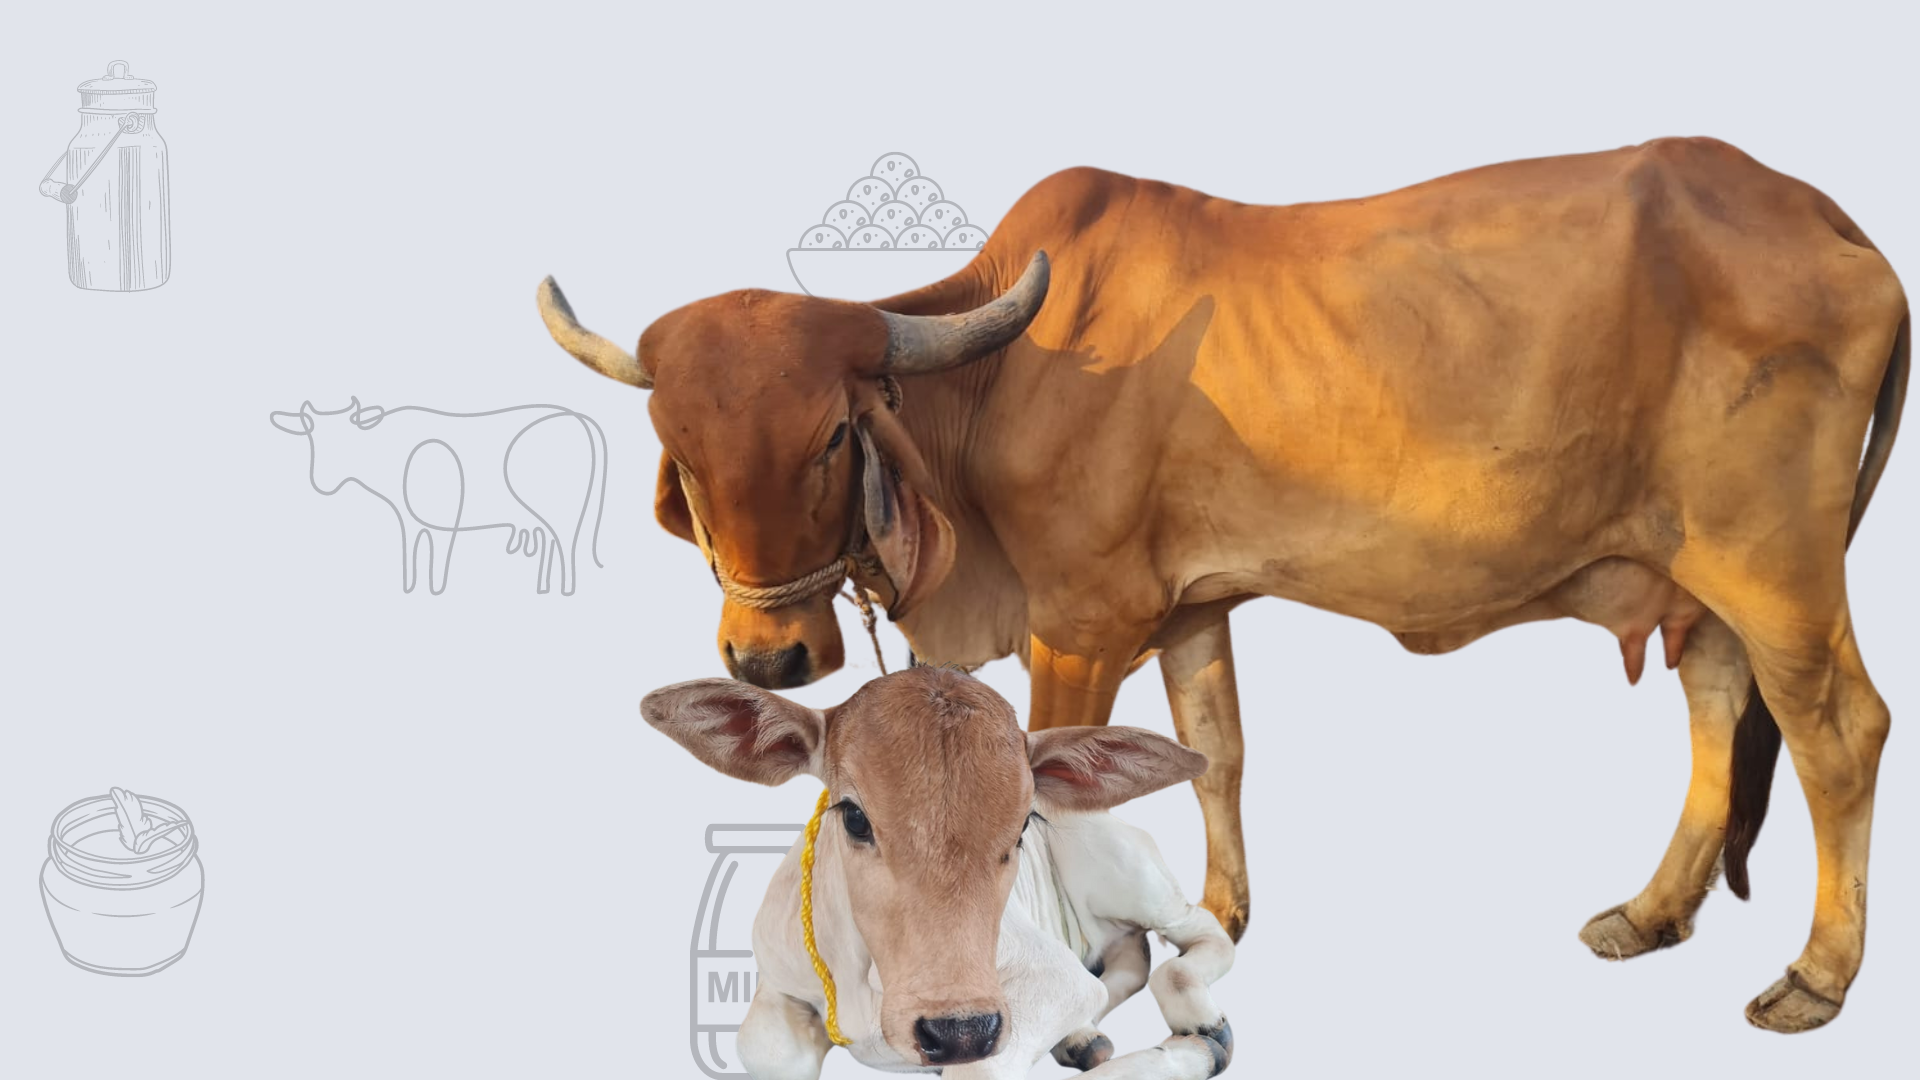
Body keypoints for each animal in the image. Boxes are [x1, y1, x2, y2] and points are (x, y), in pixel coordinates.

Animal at [269, 399, 608, 595]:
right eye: (312, 437)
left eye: (348, 436)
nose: (321, 481)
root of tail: (578, 417)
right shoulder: (409, 519)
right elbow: (411, 553)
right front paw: (410, 586)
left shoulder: (447, 517)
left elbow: (438, 562)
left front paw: (434, 589)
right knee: (551, 544)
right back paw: (542, 586)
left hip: (565, 513)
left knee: (567, 549)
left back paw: (563, 589)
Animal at [538, 138, 1909, 1031]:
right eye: (681, 454)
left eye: (829, 437)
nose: (767, 659)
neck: (997, 379)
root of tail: (1829, 220)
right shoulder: (1191, 609)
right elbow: (1216, 751)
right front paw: (1217, 921)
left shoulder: (1081, 623)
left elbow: (1055, 796)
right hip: (1699, 571)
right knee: (1719, 708)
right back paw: (1652, 911)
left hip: (1775, 561)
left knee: (1839, 729)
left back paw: (1818, 976)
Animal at [643, 665, 1235, 1079]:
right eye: (854, 816)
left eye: (1023, 825)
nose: (957, 1032)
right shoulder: (776, 980)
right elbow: (764, 1051)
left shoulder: (1047, 978)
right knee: (1132, 957)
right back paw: (1083, 1037)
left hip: (1131, 874)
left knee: (1196, 938)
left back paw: (1198, 1024)